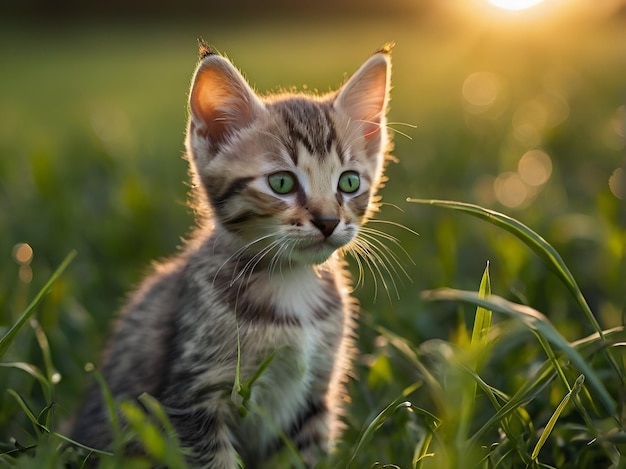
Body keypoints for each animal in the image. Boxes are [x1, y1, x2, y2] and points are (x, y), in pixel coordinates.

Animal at [72, 44, 390, 468]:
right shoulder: (194, 396)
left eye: (350, 182)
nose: (327, 221)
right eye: (281, 183)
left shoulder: (313, 398)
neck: (290, 284)